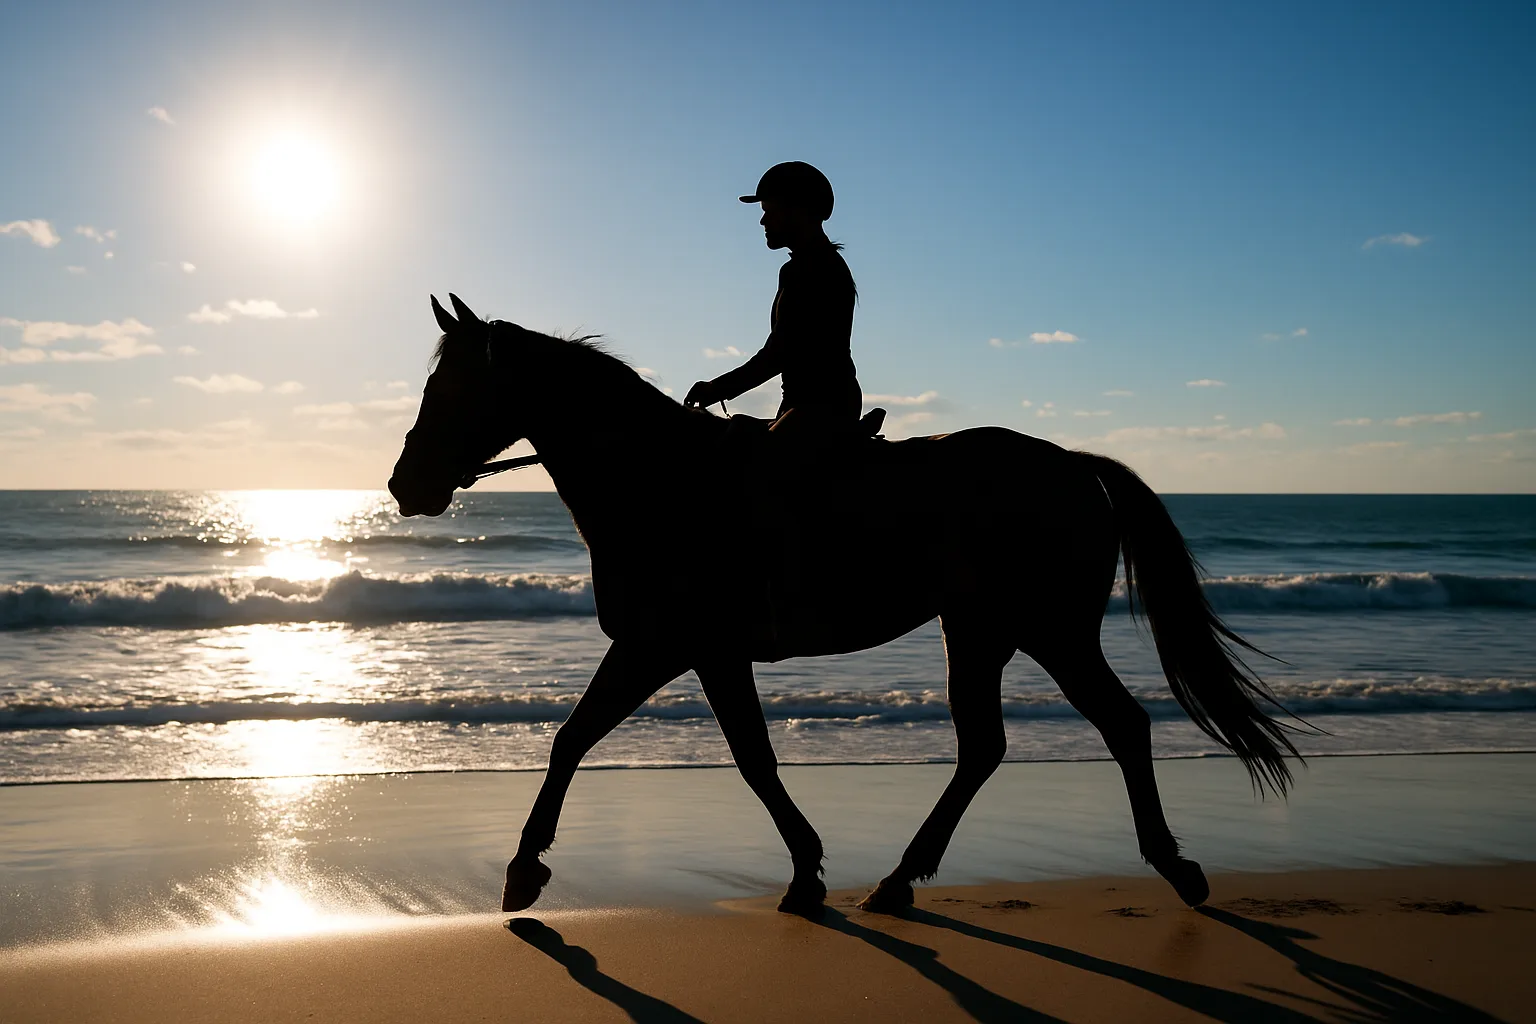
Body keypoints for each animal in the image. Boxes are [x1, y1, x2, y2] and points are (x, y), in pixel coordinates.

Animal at [388, 293, 1300, 917]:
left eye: (455, 388)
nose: (404, 486)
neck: (659, 483)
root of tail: (1073, 463)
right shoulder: (683, 651)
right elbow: (604, 742)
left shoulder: (677, 647)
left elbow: (690, 753)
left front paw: (525, 869)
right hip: (979, 631)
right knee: (986, 747)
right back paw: (899, 880)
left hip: (1050, 631)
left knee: (1121, 724)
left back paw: (1175, 868)